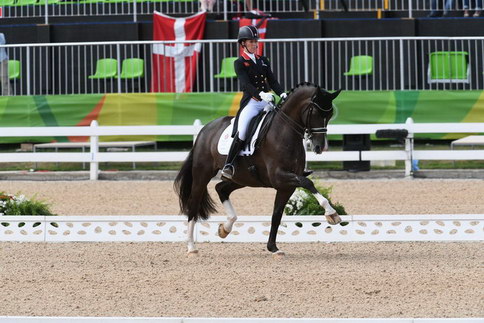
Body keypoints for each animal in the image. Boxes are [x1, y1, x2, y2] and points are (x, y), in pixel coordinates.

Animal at [174, 82, 340, 256]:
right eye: (314, 112)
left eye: (329, 115)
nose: (319, 147)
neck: (284, 132)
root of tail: (205, 130)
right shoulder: (279, 176)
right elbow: (308, 183)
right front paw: (332, 213)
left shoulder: (286, 186)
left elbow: (276, 215)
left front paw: (273, 248)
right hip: (202, 174)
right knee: (194, 204)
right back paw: (191, 247)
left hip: (242, 178)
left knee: (221, 188)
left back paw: (225, 228)